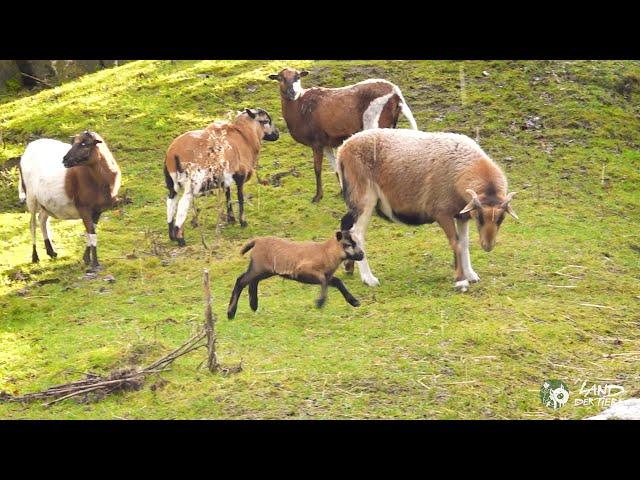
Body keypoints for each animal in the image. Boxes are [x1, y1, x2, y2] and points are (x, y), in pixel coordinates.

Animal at [18, 131, 122, 272]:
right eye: (73, 143)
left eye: (85, 144)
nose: (65, 160)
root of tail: (29, 147)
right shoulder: (84, 207)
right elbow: (91, 233)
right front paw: (95, 263)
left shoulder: (97, 210)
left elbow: (91, 232)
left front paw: (86, 259)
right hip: (31, 197)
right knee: (32, 224)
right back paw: (35, 257)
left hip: (46, 203)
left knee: (42, 220)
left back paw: (51, 252)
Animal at [164, 107, 278, 246]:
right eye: (266, 120)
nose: (277, 134)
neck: (244, 137)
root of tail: (173, 153)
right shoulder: (240, 175)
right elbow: (240, 198)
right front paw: (243, 222)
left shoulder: (225, 178)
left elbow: (228, 195)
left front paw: (231, 219)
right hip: (192, 182)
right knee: (182, 205)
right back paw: (181, 239)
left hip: (171, 182)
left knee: (171, 202)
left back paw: (172, 236)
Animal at [228, 230, 362, 318]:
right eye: (348, 244)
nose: (362, 255)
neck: (327, 252)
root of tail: (257, 241)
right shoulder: (304, 270)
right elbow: (323, 281)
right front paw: (320, 302)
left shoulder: (328, 276)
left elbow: (338, 282)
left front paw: (354, 302)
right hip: (259, 267)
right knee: (241, 281)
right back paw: (231, 313)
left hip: (263, 269)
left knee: (252, 281)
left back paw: (253, 305)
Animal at [268, 67, 418, 202]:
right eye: (280, 78)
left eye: (298, 77)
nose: (292, 92)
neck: (299, 110)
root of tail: (396, 95)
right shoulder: (326, 143)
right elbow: (336, 168)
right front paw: (341, 193)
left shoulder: (316, 141)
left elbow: (317, 169)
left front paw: (317, 197)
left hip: (374, 126)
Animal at [338, 128, 516, 292]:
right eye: (479, 218)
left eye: (501, 219)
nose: (488, 246)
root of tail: (344, 147)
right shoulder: (442, 212)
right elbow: (456, 243)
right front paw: (461, 281)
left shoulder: (461, 214)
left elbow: (464, 243)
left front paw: (470, 274)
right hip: (364, 196)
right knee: (357, 233)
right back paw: (368, 278)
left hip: (355, 200)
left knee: (345, 225)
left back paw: (348, 266)